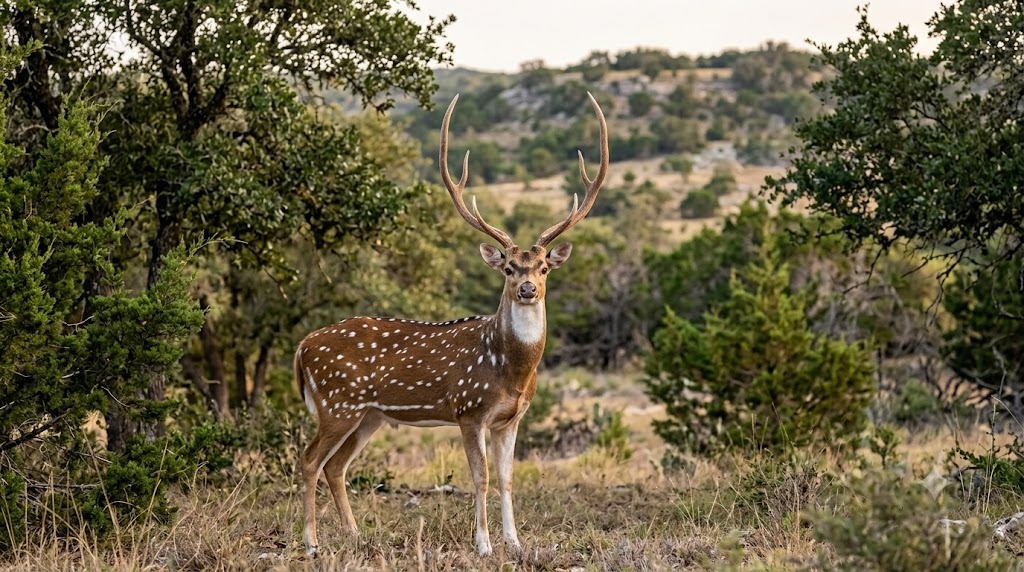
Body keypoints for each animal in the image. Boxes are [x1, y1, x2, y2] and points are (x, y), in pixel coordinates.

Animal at [295, 92, 608, 557]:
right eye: (509, 268)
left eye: (544, 268)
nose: (527, 289)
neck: (511, 370)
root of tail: (301, 348)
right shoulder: (468, 409)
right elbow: (480, 478)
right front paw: (484, 545)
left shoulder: (511, 418)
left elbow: (507, 478)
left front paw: (515, 543)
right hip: (337, 403)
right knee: (310, 459)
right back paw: (312, 543)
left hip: (368, 414)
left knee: (335, 466)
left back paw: (355, 536)